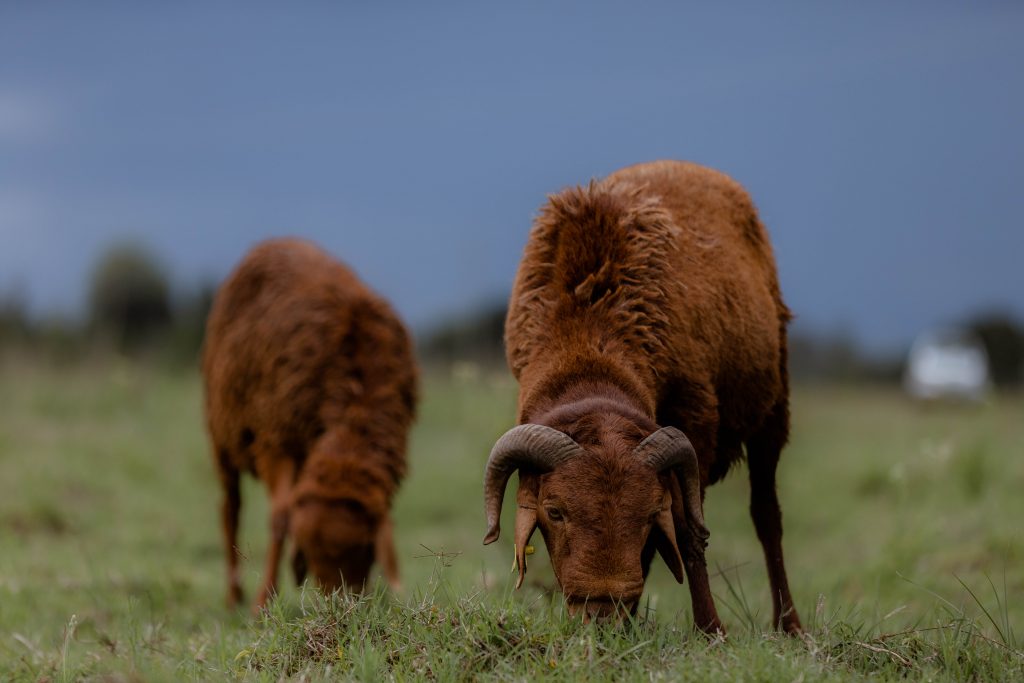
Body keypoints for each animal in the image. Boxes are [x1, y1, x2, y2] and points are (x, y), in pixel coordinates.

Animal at [203, 237, 417, 610]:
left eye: (364, 552)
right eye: (314, 556)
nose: (341, 608)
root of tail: (276, 241)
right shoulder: (275, 438)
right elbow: (279, 519)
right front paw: (263, 601)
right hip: (224, 435)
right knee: (231, 509)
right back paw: (234, 595)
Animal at [483, 160, 802, 633]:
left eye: (648, 512)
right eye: (554, 511)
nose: (601, 612)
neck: (588, 341)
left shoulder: (695, 423)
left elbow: (687, 532)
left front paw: (710, 630)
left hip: (772, 409)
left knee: (767, 517)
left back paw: (790, 625)